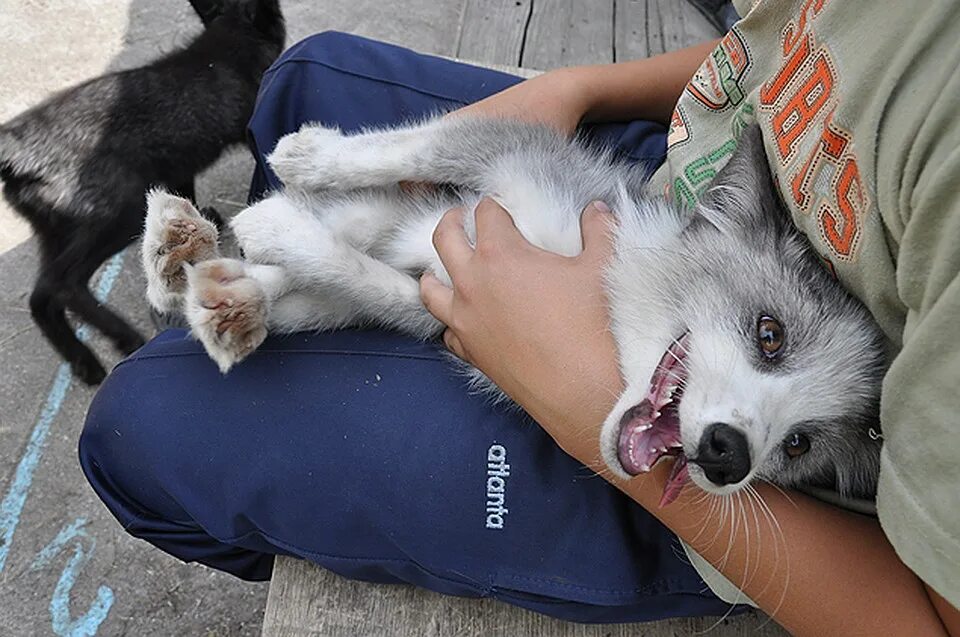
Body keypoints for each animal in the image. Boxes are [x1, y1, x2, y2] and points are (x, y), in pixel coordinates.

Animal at [0, 0, 284, 382]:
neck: (230, 37)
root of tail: (17, 144)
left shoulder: (178, 163)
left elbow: (183, 198)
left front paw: (194, 229)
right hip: (119, 213)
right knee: (63, 283)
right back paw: (123, 337)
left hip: (55, 231)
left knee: (41, 295)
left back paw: (84, 362)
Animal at [141, 117, 884, 504]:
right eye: (770, 334)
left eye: (799, 445)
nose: (731, 458)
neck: (598, 279)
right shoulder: (515, 157)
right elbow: (419, 144)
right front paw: (310, 156)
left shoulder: (447, 308)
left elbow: (364, 282)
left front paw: (275, 240)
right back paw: (183, 251)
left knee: (305, 286)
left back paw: (225, 298)